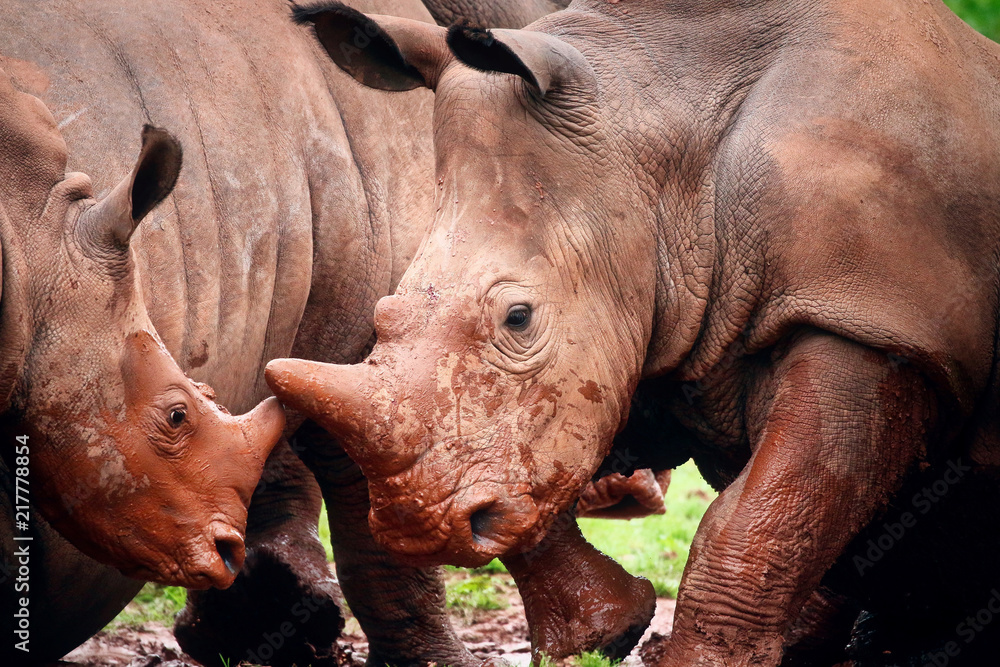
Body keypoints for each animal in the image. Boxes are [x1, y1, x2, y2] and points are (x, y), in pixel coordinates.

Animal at [268, 0, 1000, 664]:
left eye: (518, 317)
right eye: (384, 314)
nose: (417, 525)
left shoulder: (873, 323)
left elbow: (759, 520)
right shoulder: (651, 328)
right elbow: (538, 465)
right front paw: (606, 632)